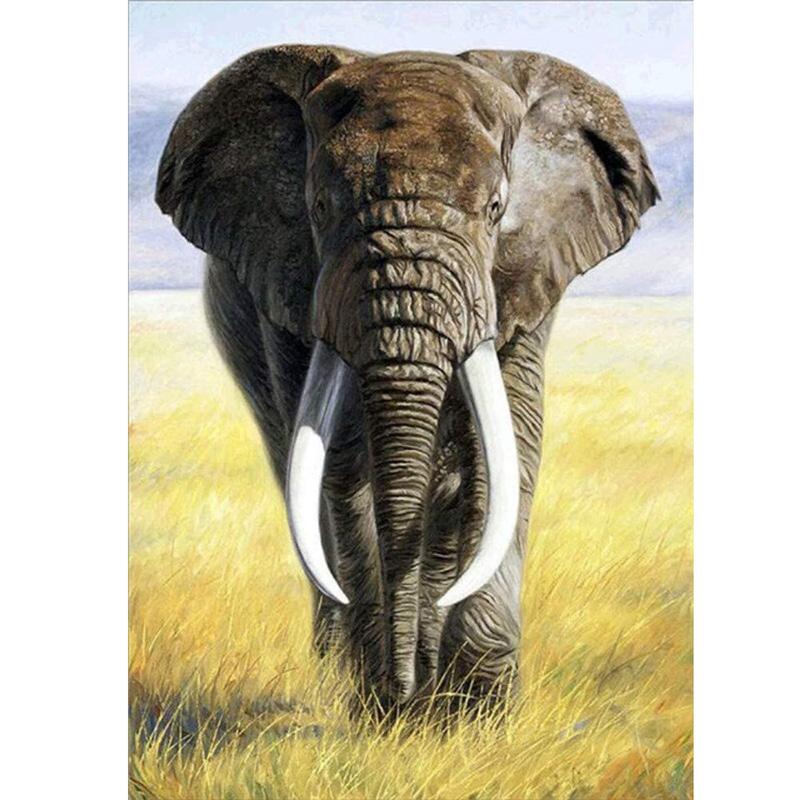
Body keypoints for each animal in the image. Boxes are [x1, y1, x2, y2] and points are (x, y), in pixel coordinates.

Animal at [156, 45, 658, 715]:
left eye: (496, 210)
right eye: (318, 209)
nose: (401, 691)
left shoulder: (525, 278)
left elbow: (507, 449)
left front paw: (475, 714)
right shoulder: (288, 292)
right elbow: (341, 459)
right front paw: (383, 706)